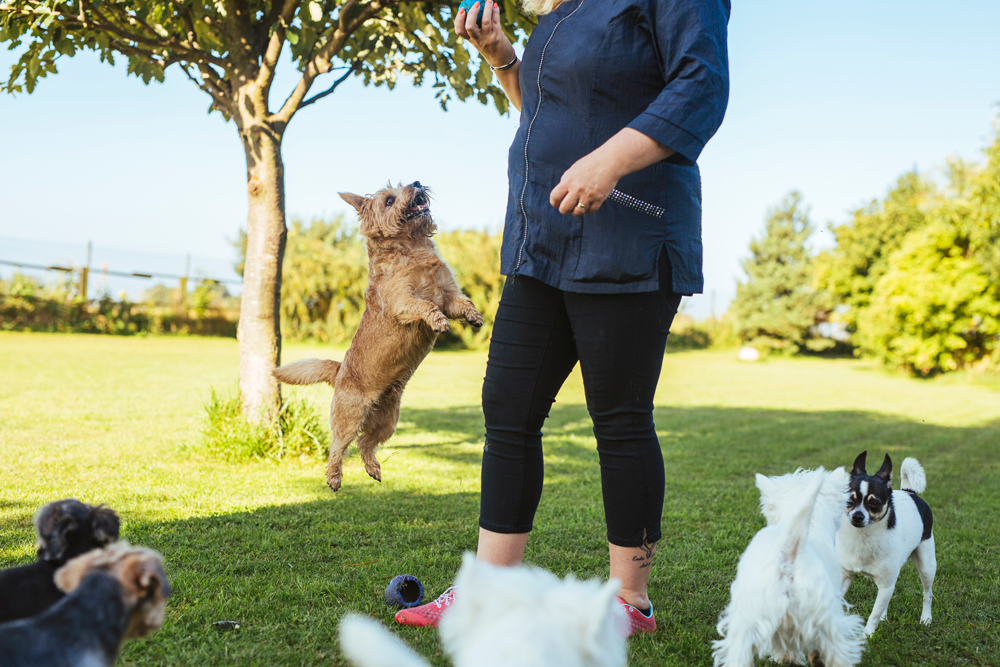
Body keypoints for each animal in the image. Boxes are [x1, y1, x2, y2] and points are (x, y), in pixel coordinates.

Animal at [836, 454, 936, 636]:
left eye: (874, 503)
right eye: (849, 500)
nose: (857, 516)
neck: (863, 536)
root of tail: (909, 491)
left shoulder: (886, 584)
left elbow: (873, 615)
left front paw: (867, 636)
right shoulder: (845, 576)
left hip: (927, 565)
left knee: (928, 593)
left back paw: (926, 618)